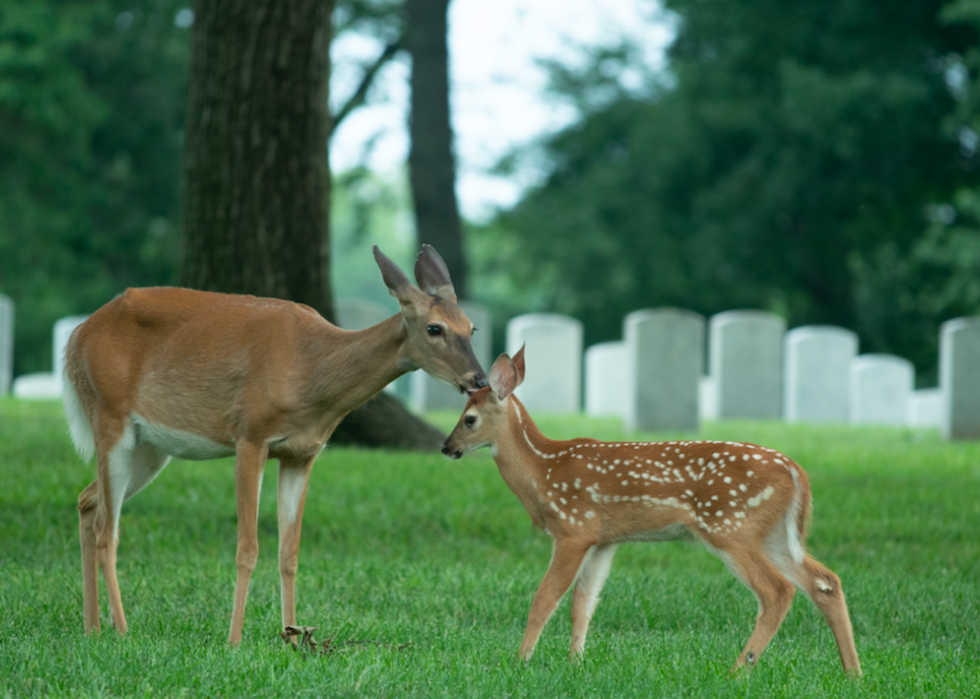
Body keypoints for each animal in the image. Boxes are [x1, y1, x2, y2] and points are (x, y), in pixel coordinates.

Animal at [65, 245, 486, 644]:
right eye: (434, 328)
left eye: (472, 328)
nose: (479, 379)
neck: (311, 372)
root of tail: (75, 339)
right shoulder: (250, 435)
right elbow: (247, 549)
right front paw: (234, 640)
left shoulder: (302, 453)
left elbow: (289, 552)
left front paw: (292, 635)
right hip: (110, 417)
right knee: (107, 530)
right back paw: (121, 630)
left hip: (151, 447)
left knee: (88, 501)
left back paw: (92, 627)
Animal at [440, 350, 860, 680]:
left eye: (469, 419)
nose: (446, 447)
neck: (543, 470)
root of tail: (796, 472)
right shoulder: (604, 540)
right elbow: (583, 604)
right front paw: (576, 663)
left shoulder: (573, 528)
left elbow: (545, 599)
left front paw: (521, 660)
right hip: (773, 533)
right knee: (825, 581)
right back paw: (852, 672)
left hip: (729, 525)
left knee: (778, 590)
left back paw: (737, 671)